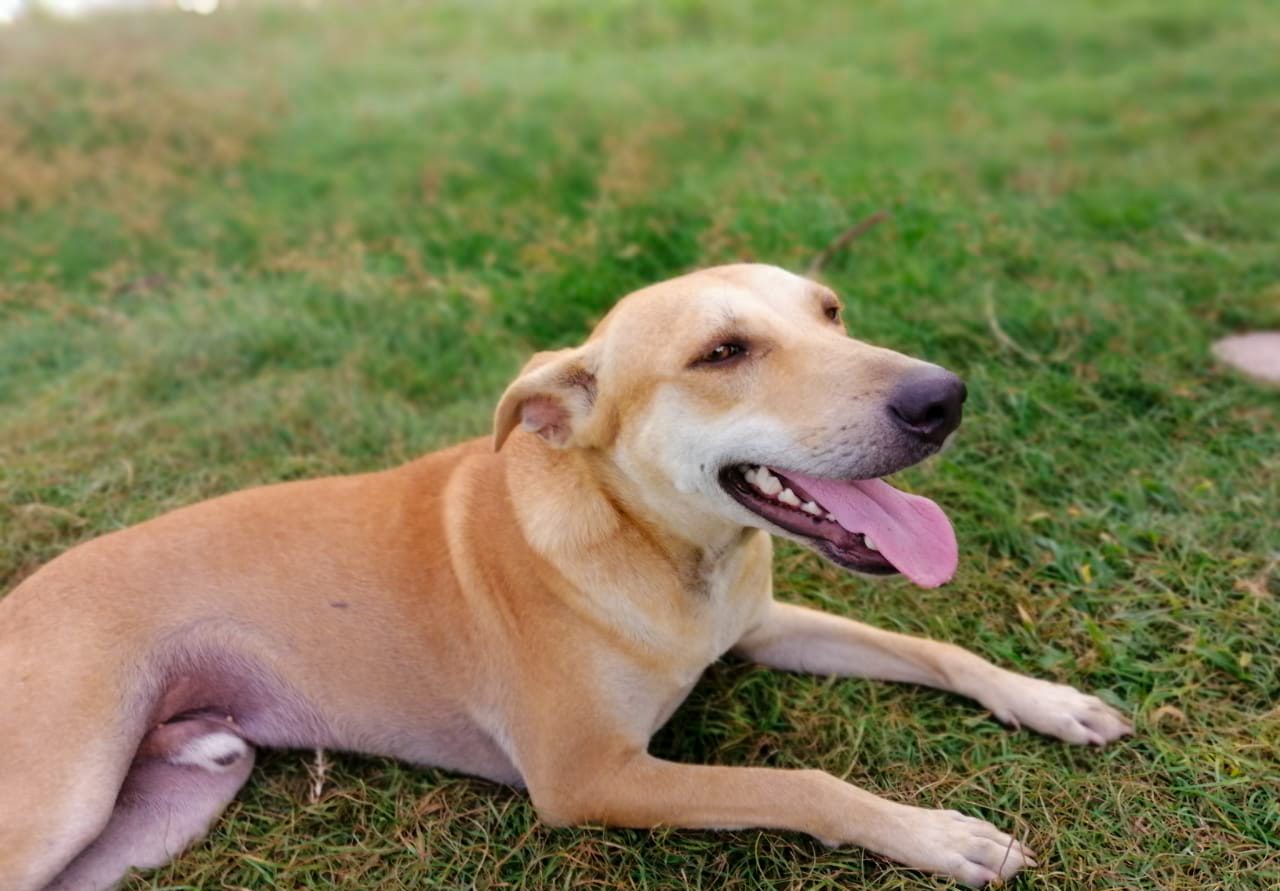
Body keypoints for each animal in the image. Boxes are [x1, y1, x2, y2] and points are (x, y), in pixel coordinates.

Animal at [2, 264, 1131, 891]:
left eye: (831, 311)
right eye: (723, 352)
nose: (944, 397)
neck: (660, 548)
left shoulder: (762, 623)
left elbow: (930, 644)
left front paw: (1049, 700)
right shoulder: (593, 776)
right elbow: (801, 782)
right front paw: (936, 834)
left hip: (173, 799)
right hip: (61, 800)